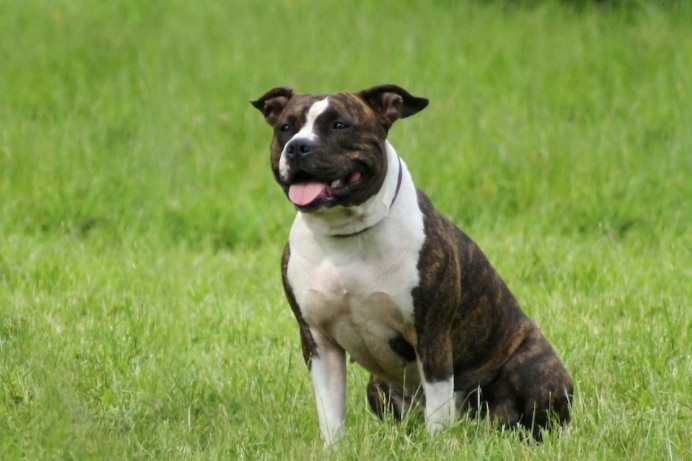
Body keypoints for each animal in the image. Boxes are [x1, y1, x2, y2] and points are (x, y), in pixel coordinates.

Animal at [251, 84, 572, 444]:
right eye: (285, 127)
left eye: (340, 125)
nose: (297, 147)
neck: (345, 236)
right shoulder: (319, 341)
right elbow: (330, 411)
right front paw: (334, 448)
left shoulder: (431, 334)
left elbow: (438, 405)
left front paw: (437, 446)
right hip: (377, 387)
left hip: (534, 372)